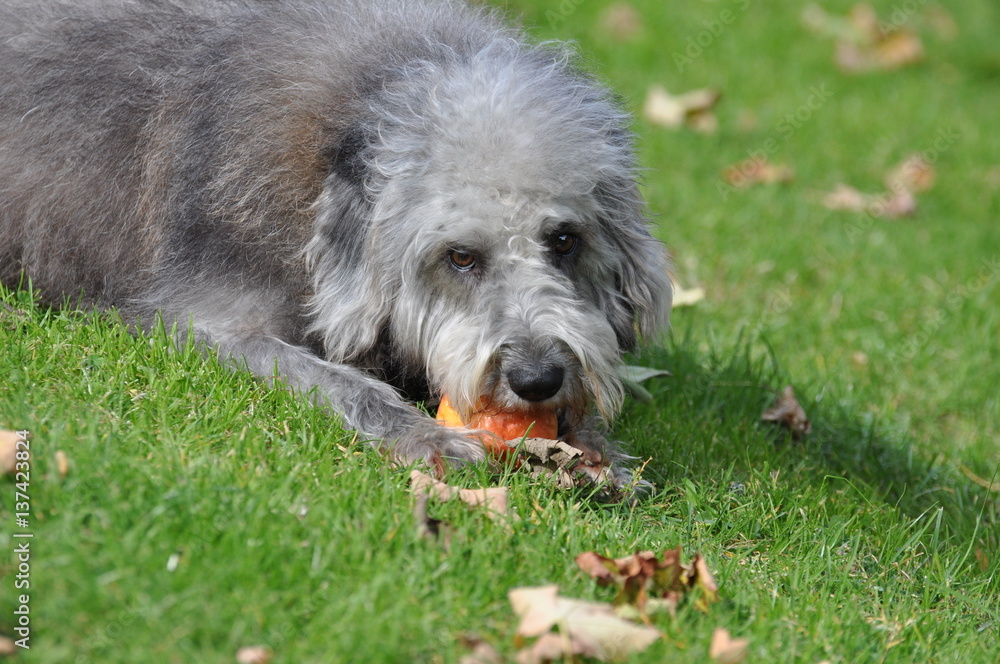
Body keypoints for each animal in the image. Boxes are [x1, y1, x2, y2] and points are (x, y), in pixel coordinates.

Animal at [1, 0, 672, 488]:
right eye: (460, 256)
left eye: (564, 239)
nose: (538, 379)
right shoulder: (200, 322)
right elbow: (333, 380)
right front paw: (425, 437)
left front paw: (593, 451)